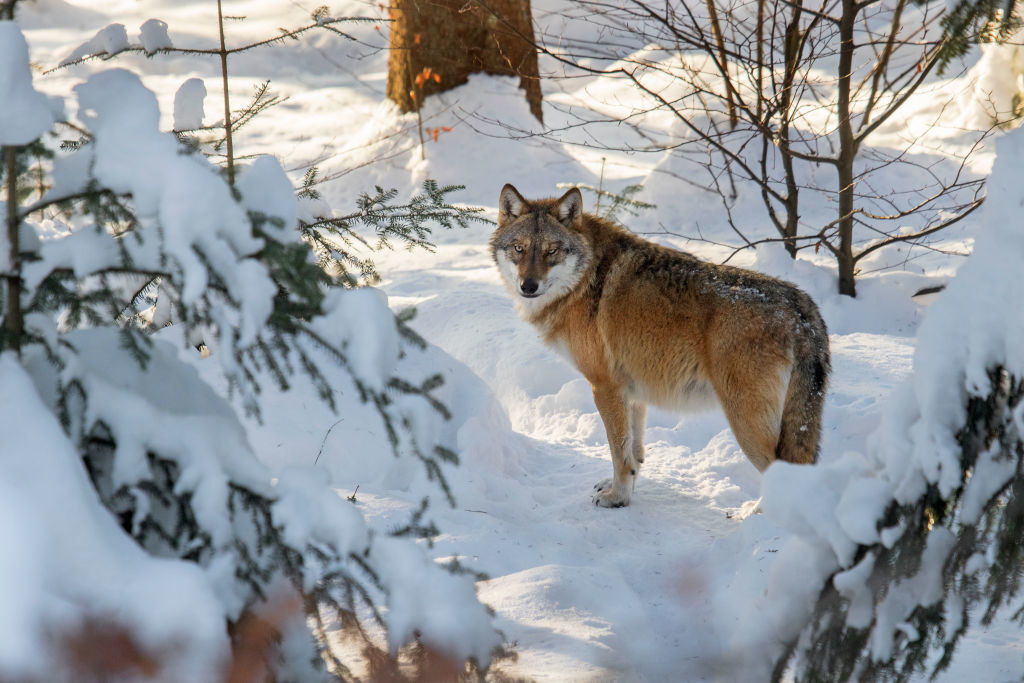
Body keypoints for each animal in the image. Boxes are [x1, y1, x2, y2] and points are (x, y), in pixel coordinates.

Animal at [489, 183, 831, 507]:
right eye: (519, 249)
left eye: (552, 251)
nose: (528, 286)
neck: (583, 280)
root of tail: (802, 311)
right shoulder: (632, 391)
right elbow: (633, 453)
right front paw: (624, 490)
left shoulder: (605, 386)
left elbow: (618, 453)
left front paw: (617, 498)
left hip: (745, 421)